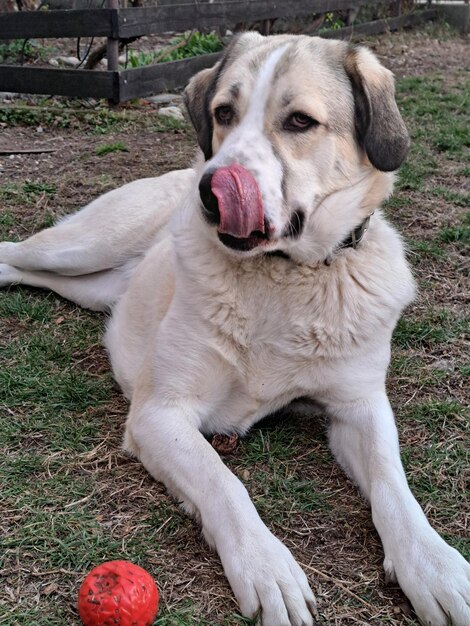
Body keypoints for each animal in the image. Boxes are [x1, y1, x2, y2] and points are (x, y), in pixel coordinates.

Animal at [0, 34, 470, 624]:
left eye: (299, 122)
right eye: (224, 113)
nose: (210, 190)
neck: (282, 277)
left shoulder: (359, 406)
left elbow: (393, 484)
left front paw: (434, 565)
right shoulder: (160, 414)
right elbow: (223, 483)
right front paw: (266, 566)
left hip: (88, 284)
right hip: (84, 246)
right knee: (11, 251)